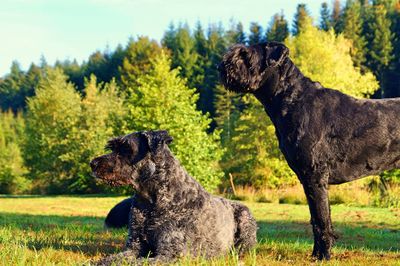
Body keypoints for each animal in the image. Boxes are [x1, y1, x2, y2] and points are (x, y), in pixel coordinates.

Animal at [90, 130, 256, 264]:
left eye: (126, 148)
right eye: (112, 147)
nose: (93, 163)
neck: (151, 200)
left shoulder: (170, 254)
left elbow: (136, 263)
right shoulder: (134, 247)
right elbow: (111, 259)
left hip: (245, 220)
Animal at [219, 41, 400, 260]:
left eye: (246, 55)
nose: (221, 67)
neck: (293, 100)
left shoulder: (314, 175)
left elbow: (321, 220)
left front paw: (323, 256)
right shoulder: (308, 178)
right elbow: (317, 219)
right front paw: (317, 254)